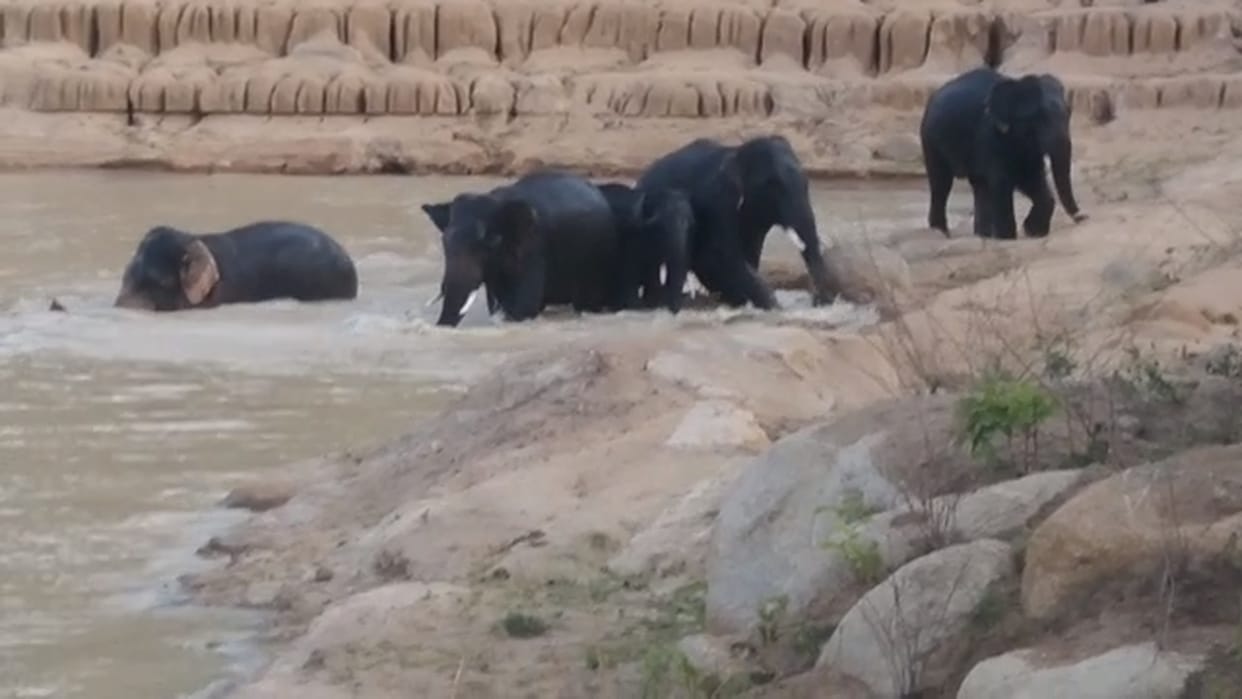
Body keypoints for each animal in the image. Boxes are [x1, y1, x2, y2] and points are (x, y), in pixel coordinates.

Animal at [597, 182, 693, 313]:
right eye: (661, 226)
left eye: (687, 224)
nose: (674, 311)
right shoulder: (630, 236)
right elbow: (629, 268)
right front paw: (635, 305)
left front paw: (651, 302)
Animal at [636, 135, 840, 310]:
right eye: (773, 185)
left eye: (807, 182)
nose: (819, 301)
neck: (737, 153)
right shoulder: (718, 201)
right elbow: (719, 255)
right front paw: (773, 305)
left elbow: (747, 253)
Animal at [920, 67, 1088, 240]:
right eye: (1040, 119)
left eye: (1068, 114)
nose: (1083, 217)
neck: (1016, 86)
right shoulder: (990, 135)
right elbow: (1002, 182)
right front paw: (1008, 237)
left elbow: (1032, 178)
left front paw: (1033, 231)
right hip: (930, 140)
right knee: (941, 183)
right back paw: (941, 232)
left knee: (979, 185)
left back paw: (982, 235)